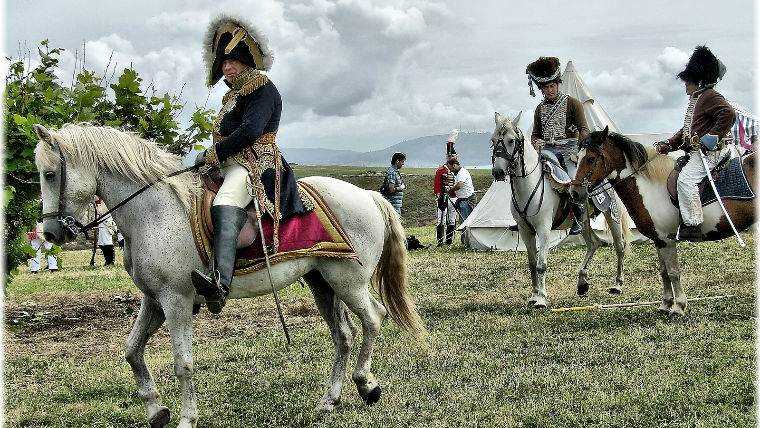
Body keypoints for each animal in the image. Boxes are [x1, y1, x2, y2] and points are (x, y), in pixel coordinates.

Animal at [34, 123, 428, 428]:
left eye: (50, 174)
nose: (51, 232)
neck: (153, 211)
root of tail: (369, 195)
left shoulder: (176, 301)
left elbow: (183, 364)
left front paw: (186, 418)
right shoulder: (154, 299)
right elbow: (132, 351)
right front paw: (157, 411)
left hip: (349, 282)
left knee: (373, 318)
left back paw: (367, 385)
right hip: (323, 282)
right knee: (344, 336)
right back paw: (330, 400)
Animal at [492, 112, 628, 310]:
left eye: (511, 140)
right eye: (493, 140)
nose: (498, 172)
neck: (529, 184)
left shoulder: (544, 229)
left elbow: (541, 264)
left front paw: (541, 299)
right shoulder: (525, 230)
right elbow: (532, 263)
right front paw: (534, 295)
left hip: (612, 214)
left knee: (619, 246)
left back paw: (617, 285)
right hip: (584, 221)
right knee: (593, 244)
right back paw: (582, 283)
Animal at [568, 127, 756, 314]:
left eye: (591, 159)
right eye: (577, 158)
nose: (574, 193)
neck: (652, 188)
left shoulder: (667, 239)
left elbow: (673, 272)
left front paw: (679, 306)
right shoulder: (658, 240)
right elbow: (663, 272)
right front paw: (666, 303)